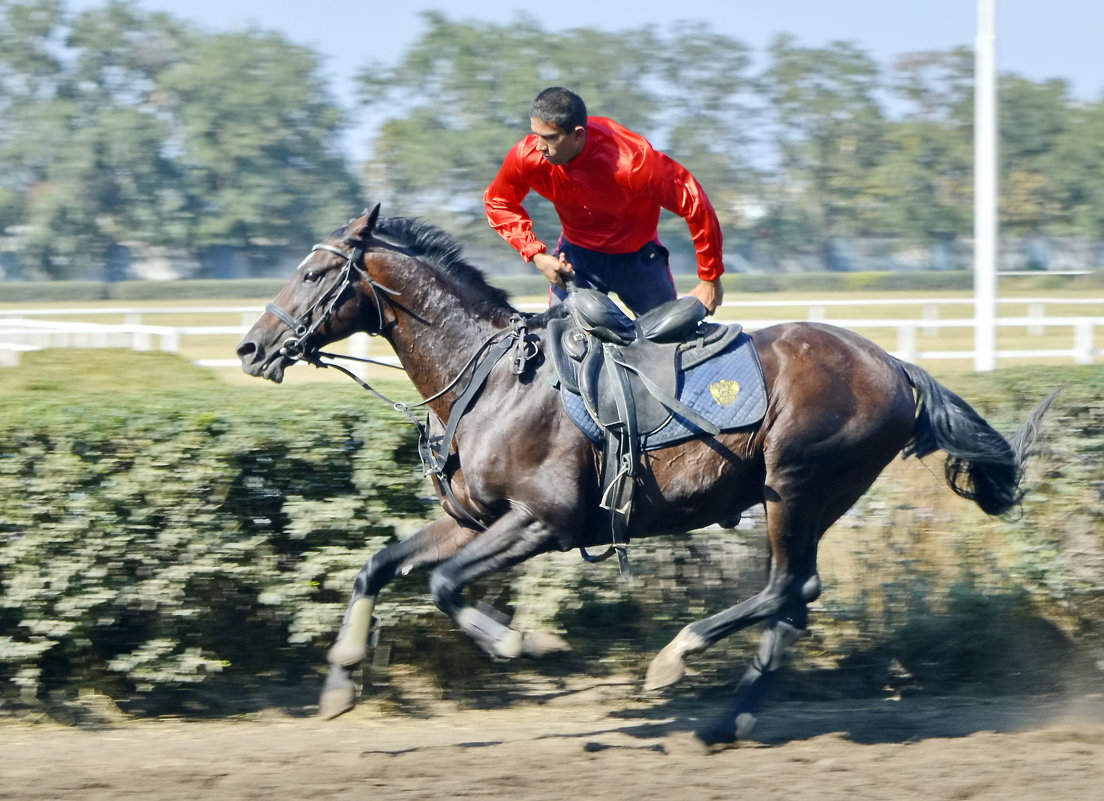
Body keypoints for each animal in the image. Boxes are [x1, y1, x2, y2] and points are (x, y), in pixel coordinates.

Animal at [237, 205, 1055, 745]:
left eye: (313, 272)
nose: (249, 348)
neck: (495, 378)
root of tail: (896, 365)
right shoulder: (472, 518)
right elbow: (376, 566)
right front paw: (341, 677)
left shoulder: (541, 521)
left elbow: (442, 585)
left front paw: (526, 646)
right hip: (803, 498)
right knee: (793, 599)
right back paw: (728, 719)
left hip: (795, 486)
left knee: (789, 587)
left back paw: (678, 657)